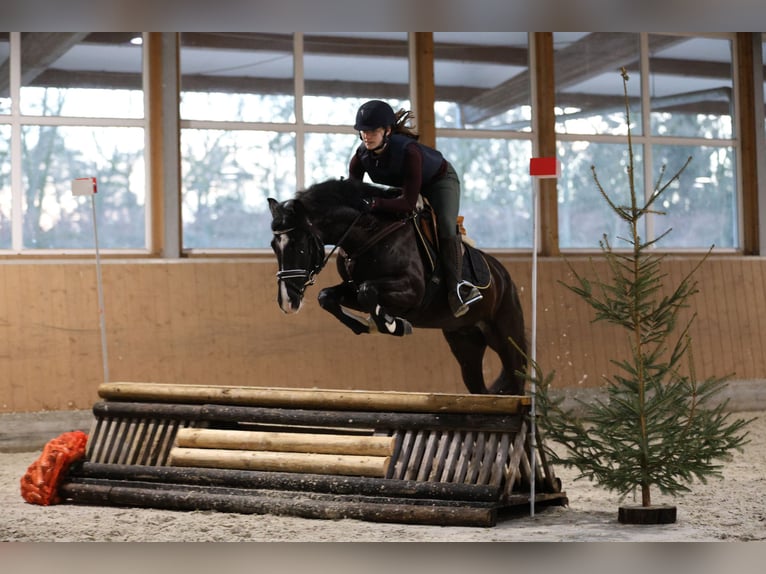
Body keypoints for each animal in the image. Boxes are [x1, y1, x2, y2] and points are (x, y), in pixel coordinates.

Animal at [268, 179, 528, 396]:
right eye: (273, 245)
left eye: (299, 244)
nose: (287, 302)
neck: (368, 234)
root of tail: (503, 275)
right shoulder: (352, 289)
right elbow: (329, 296)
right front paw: (366, 325)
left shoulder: (412, 292)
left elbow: (368, 292)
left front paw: (394, 324)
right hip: (465, 342)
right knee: (480, 389)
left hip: (507, 337)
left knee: (516, 382)